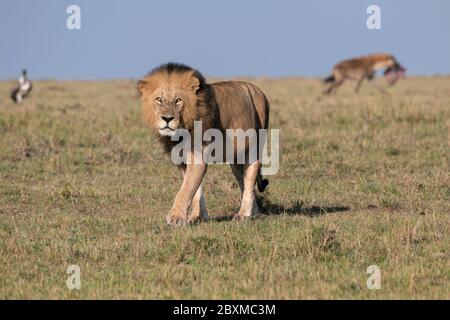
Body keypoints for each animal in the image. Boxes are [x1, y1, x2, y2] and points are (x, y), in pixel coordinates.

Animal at [137, 63, 270, 225]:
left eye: (178, 100)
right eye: (159, 100)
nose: (167, 118)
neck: (180, 132)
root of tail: (259, 91)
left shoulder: (197, 157)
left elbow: (185, 190)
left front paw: (175, 217)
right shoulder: (181, 161)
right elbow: (195, 190)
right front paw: (198, 217)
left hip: (253, 146)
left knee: (251, 178)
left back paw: (243, 215)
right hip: (235, 160)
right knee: (243, 183)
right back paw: (254, 213)